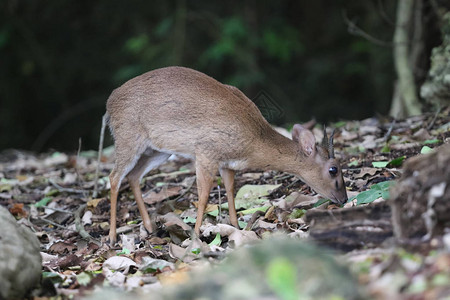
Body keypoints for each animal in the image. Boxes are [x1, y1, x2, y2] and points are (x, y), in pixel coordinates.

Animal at [106, 66, 348, 244]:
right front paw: (196, 235)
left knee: (133, 176)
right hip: (128, 138)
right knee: (114, 176)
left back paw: (149, 227)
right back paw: (111, 237)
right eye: (333, 169)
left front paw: (235, 226)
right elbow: (203, 196)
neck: (253, 141)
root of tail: (110, 102)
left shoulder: (228, 164)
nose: (344, 199)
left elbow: (231, 190)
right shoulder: (206, 152)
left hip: (157, 150)